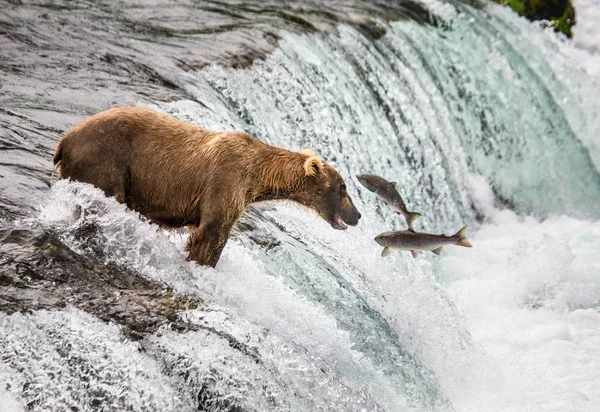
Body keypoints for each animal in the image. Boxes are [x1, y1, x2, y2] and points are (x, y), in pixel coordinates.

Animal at [54, 106, 360, 268]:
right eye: (343, 188)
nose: (357, 215)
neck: (257, 176)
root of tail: (64, 140)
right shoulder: (225, 181)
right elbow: (211, 234)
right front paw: (201, 264)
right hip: (107, 161)